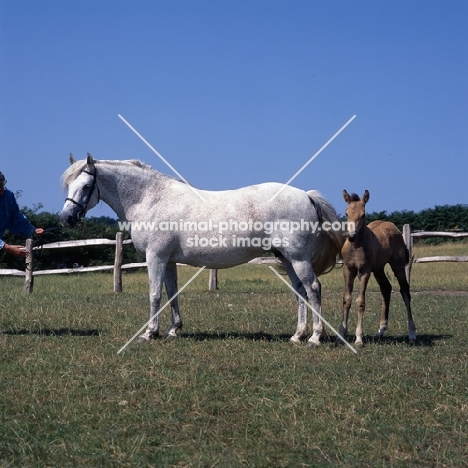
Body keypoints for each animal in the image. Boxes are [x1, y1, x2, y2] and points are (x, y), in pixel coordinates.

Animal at [59, 154, 344, 348]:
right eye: (69, 186)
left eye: (86, 186)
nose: (66, 218)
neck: (151, 199)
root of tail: (306, 195)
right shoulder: (169, 260)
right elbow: (171, 293)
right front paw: (174, 330)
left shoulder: (156, 257)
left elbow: (154, 295)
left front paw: (149, 333)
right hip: (287, 258)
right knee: (300, 292)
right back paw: (297, 335)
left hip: (298, 258)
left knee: (313, 289)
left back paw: (315, 337)